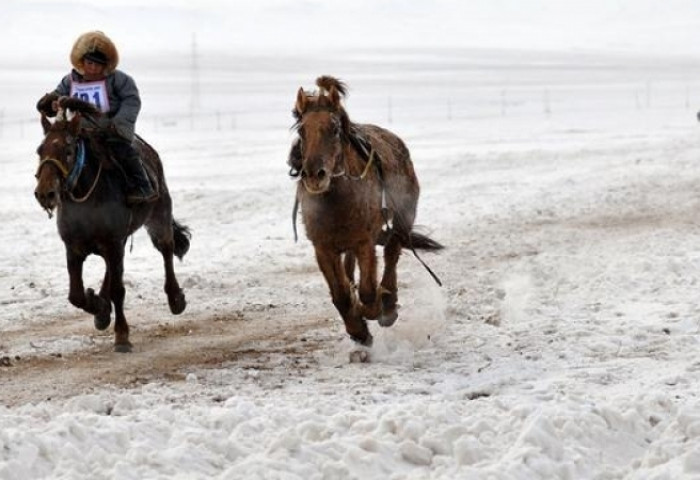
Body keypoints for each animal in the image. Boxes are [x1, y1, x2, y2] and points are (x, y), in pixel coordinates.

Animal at [34, 96, 190, 352]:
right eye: (40, 150)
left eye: (68, 150)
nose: (45, 193)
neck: (86, 197)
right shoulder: (74, 248)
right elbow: (75, 295)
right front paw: (98, 306)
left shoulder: (113, 243)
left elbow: (119, 289)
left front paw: (122, 335)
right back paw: (102, 310)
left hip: (158, 216)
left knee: (166, 249)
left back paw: (176, 298)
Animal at [292, 76, 442, 344]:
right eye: (301, 130)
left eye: (334, 129)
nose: (314, 175)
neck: (337, 202)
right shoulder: (323, 247)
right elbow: (341, 295)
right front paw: (358, 330)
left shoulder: (364, 242)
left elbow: (369, 292)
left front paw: (374, 310)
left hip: (403, 218)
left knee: (392, 252)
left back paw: (389, 304)